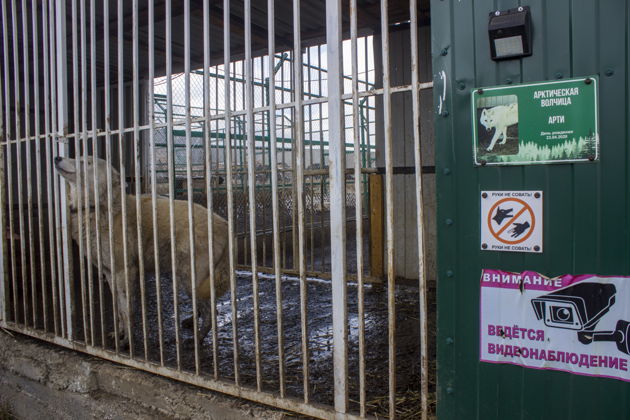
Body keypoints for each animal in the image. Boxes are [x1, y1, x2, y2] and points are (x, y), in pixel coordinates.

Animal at [55, 156, 230, 346]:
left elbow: (127, 310)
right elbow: (119, 310)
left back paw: (196, 339)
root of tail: (224, 224)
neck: (98, 207)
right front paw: (119, 334)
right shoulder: (110, 274)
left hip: (189, 279)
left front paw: (127, 341)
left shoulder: (125, 272)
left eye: (86, 162)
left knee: (211, 312)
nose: (57, 157)